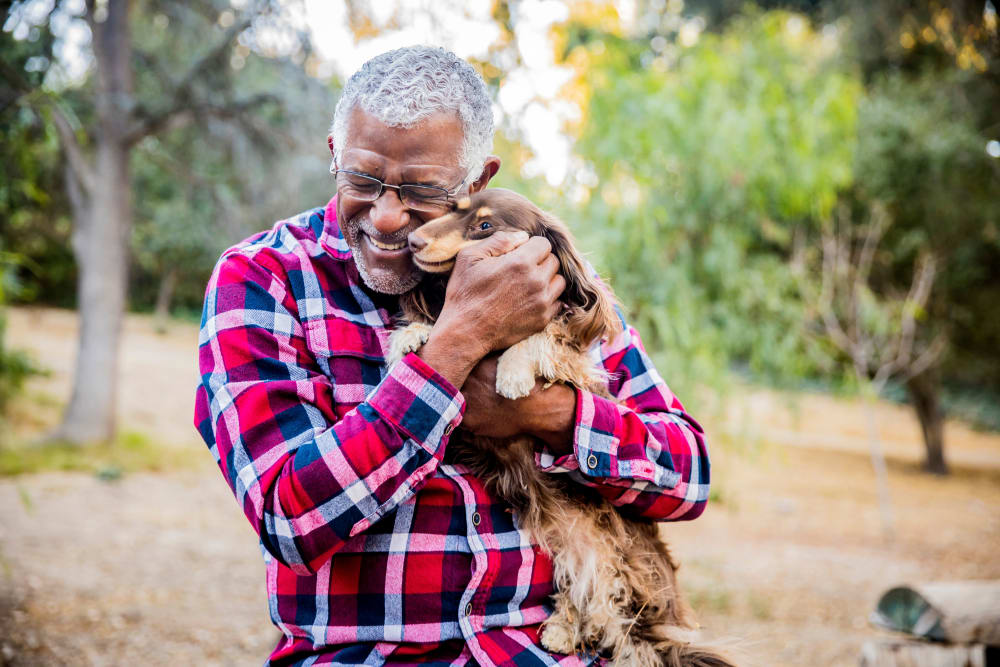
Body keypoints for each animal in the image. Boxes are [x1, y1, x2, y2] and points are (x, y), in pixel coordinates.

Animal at [386, 188, 732, 667]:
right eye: (453, 210)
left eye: (485, 226)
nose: (414, 241)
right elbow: (439, 330)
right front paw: (412, 335)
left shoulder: (575, 365)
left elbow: (542, 338)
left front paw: (512, 371)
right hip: (569, 544)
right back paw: (562, 631)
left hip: (612, 554)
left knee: (610, 609)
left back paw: (567, 630)